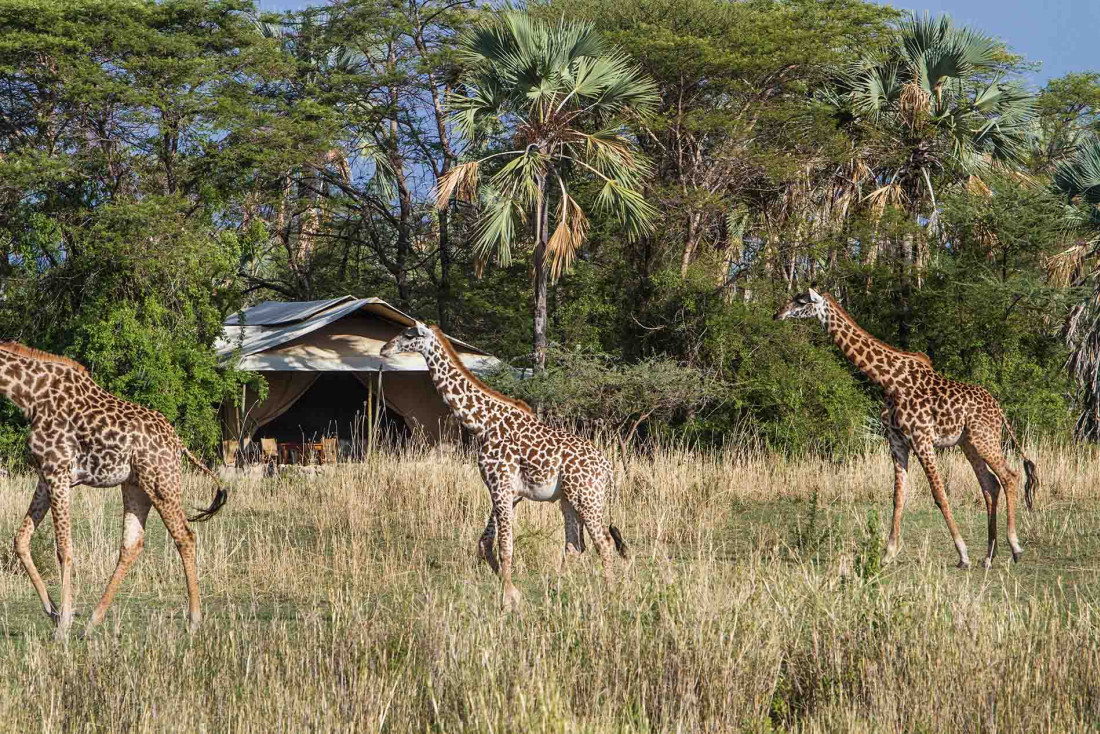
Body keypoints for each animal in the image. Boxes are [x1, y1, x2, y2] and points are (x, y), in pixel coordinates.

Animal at [0, 341, 227, 633]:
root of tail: (178, 442)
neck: (30, 395)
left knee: (184, 536)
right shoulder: (45, 475)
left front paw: (63, 624)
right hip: (136, 486)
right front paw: (54, 613)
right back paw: (92, 622)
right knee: (132, 543)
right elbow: (21, 540)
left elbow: (63, 548)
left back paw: (194, 620)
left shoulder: (58, 473)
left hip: (162, 482)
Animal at [380, 323, 629, 611]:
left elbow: (505, 545)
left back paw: (609, 594)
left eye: (409, 334)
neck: (482, 423)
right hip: (568, 500)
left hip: (587, 497)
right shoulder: (508, 492)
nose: (384, 348)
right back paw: (557, 591)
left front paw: (508, 599)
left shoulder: (500, 485)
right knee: (574, 545)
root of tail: (607, 468)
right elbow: (485, 543)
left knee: (604, 542)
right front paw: (512, 591)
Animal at [778, 290, 1034, 572]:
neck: (888, 381)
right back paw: (989, 556)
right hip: (969, 443)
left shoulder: (921, 439)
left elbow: (939, 494)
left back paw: (1015, 548)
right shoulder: (897, 441)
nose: (778, 314)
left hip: (984, 438)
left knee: (1009, 476)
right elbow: (898, 496)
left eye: (802, 301)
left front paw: (962, 554)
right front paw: (887, 553)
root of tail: (999, 409)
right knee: (990, 484)